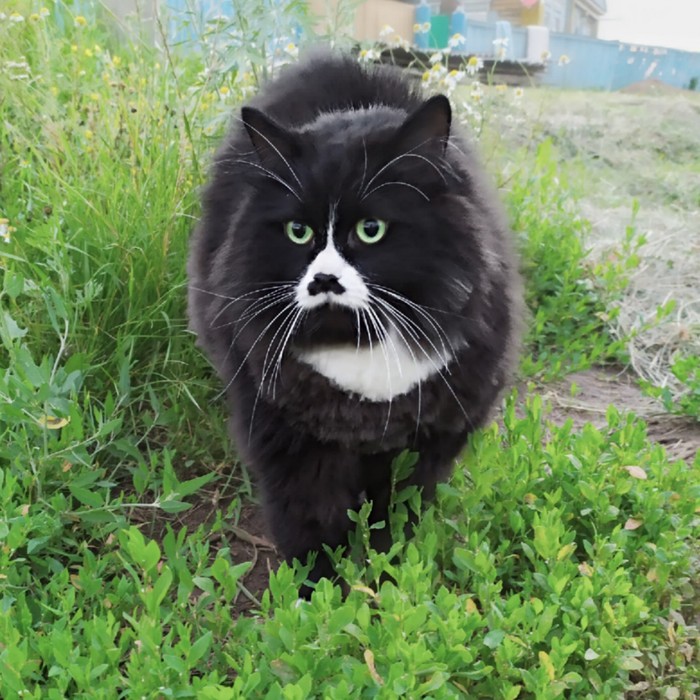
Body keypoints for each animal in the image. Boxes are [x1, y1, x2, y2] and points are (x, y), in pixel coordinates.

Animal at [186, 50, 520, 592]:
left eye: (371, 229)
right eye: (298, 232)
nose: (324, 279)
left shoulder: (429, 443)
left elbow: (396, 522)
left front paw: (390, 583)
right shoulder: (293, 446)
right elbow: (312, 529)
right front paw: (322, 597)